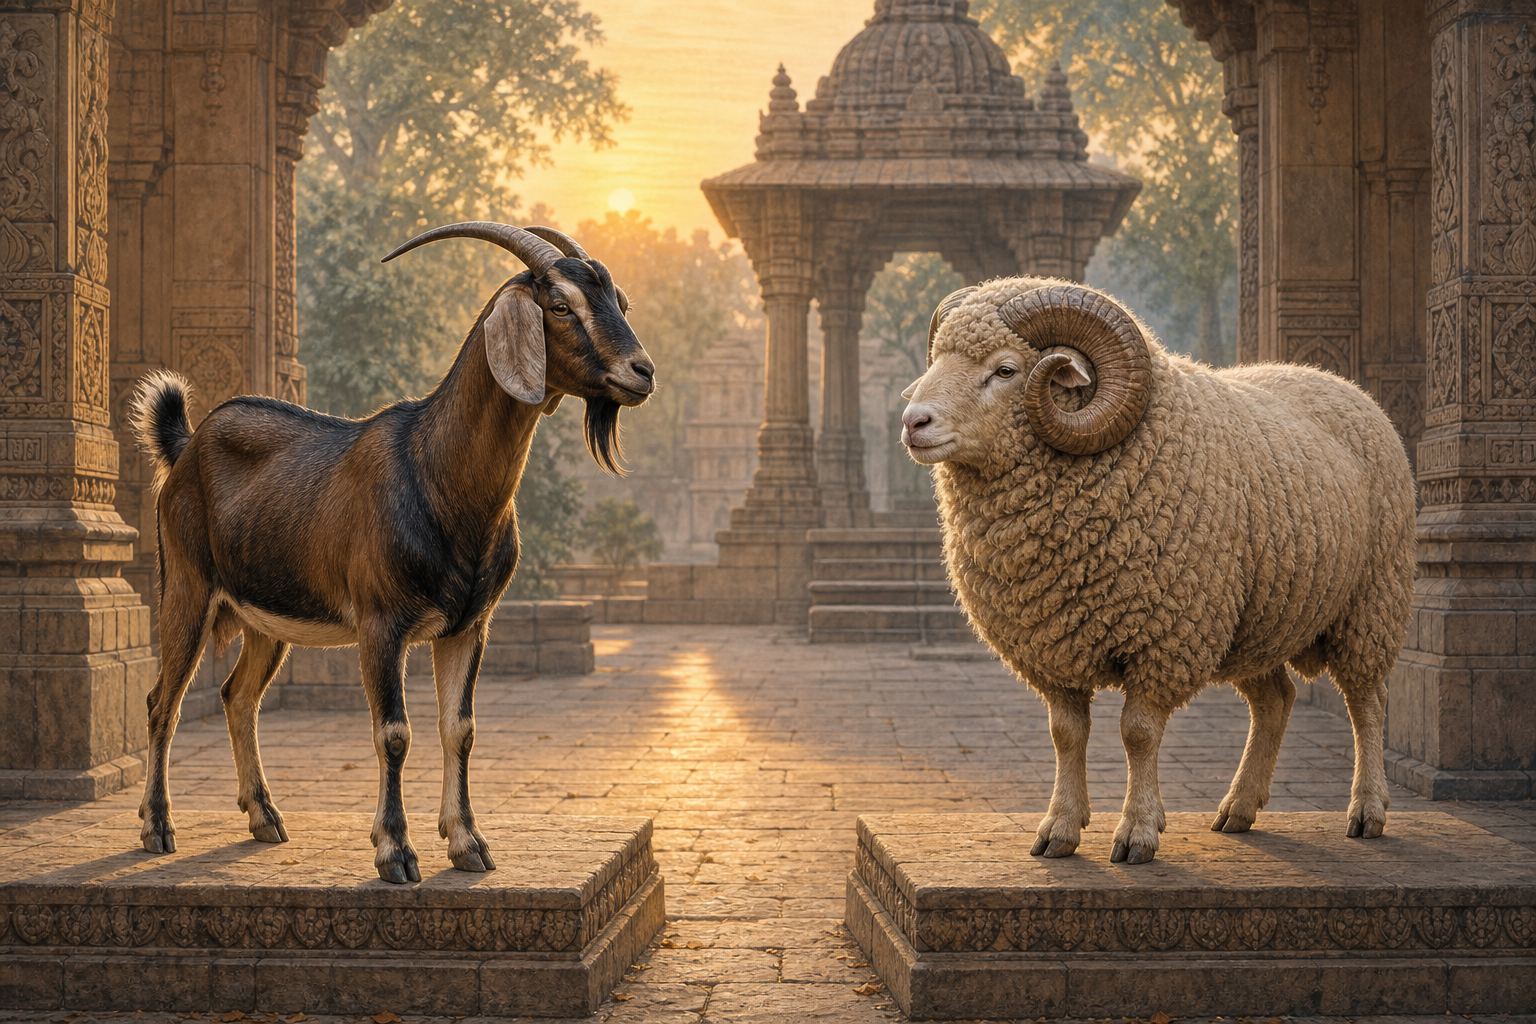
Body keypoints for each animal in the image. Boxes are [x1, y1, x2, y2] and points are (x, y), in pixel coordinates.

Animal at [131, 223, 653, 883]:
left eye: (620, 301)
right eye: (560, 305)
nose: (642, 371)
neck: (438, 473)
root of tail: (186, 447)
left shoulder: (468, 626)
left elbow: (460, 728)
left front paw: (468, 844)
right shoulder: (381, 624)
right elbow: (394, 734)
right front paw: (395, 852)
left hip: (265, 619)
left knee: (238, 697)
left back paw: (265, 818)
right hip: (187, 588)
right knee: (162, 702)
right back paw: (157, 827)